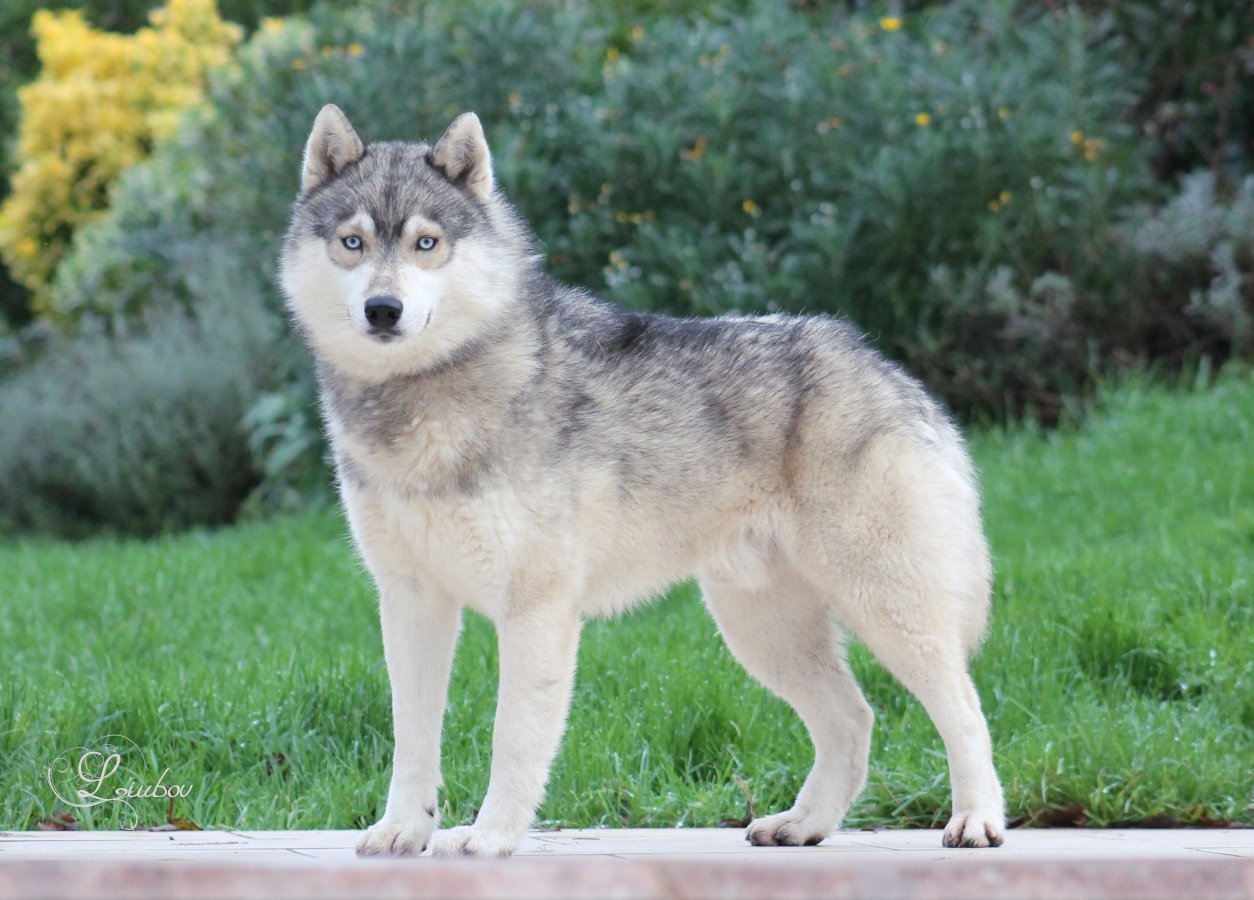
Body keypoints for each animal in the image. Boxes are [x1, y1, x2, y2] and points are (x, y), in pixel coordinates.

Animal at [279, 104, 1006, 858]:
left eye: (426, 242)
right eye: (353, 242)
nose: (383, 309)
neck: (425, 400)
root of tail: (881, 364)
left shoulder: (535, 610)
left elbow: (513, 739)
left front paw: (490, 835)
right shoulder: (412, 604)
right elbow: (413, 740)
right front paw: (403, 829)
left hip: (883, 612)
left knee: (964, 708)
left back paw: (976, 820)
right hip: (761, 631)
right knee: (854, 719)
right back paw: (803, 824)